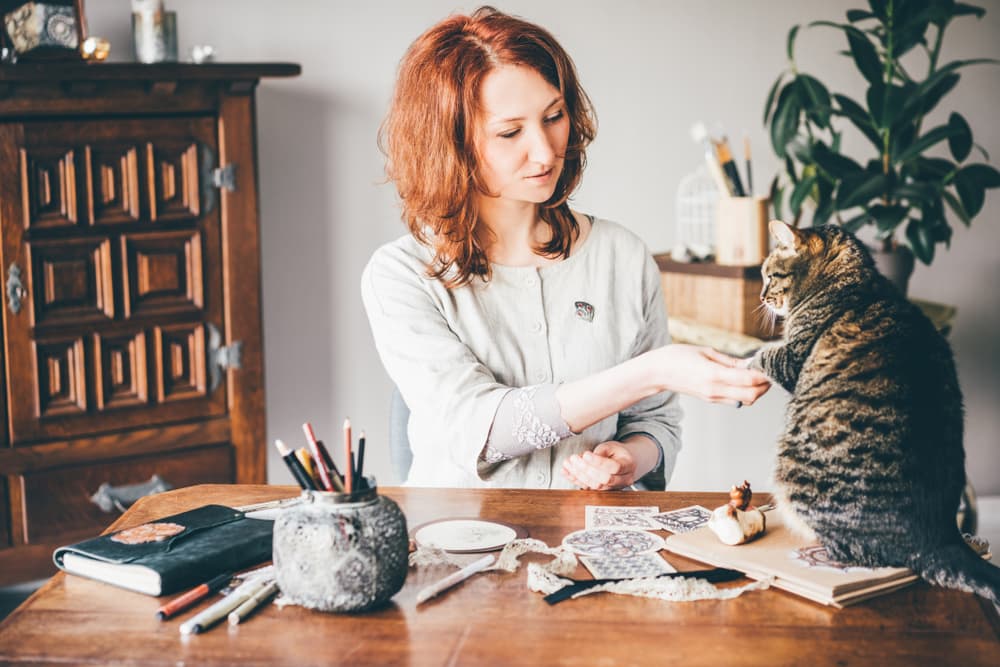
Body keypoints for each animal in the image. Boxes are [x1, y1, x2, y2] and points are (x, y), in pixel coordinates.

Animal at [752, 220, 996, 604]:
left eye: (769, 276)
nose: (761, 298)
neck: (851, 280)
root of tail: (938, 536)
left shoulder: (793, 358)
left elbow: (767, 354)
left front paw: (747, 360)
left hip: (791, 471)